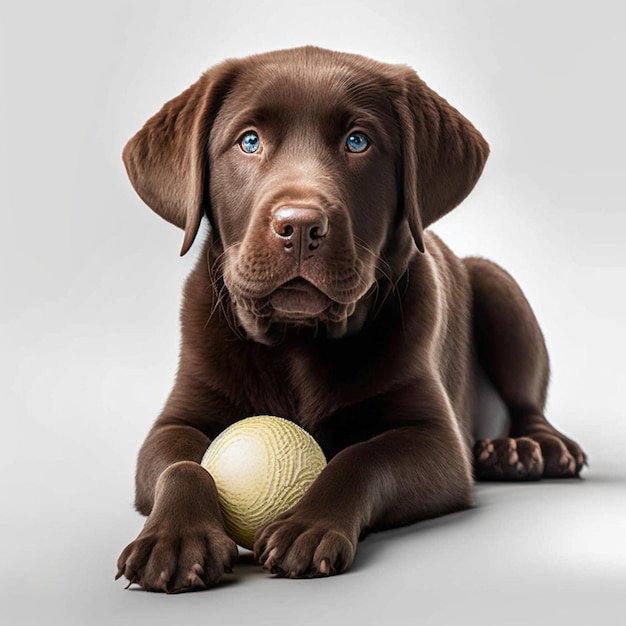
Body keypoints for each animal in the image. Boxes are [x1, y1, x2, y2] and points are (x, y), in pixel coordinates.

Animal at [116, 47, 584, 588]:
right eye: (249, 141)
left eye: (357, 142)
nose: (299, 226)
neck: (299, 340)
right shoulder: (176, 419)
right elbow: (182, 466)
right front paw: (174, 540)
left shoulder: (437, 439)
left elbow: (360, 456)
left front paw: (307, 526)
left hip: (498, 288)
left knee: (529, 403)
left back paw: (530, 450)